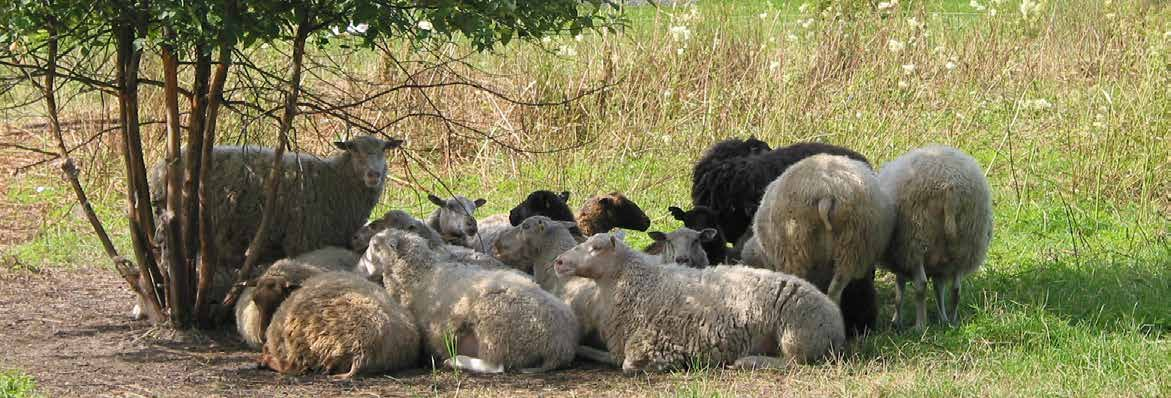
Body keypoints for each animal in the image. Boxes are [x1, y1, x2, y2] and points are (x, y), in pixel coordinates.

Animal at [259, 270, 421, 379]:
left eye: (274, 299)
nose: (261, 336)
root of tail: (363, 353)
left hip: (306, 342)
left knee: (296, 367)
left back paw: (266, 361)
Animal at [367, 228, 578, 374]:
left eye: (375, 247)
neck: (420, 273)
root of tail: (561, 345)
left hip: (496, 327)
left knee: (495, 366)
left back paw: (455, 361)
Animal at [552, 231, 847, 372]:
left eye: (596, 248)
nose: (559, 262)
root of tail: (836, 317)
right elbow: (596, 353)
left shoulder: (652, 341)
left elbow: (628, 365)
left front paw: (665, 365)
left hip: (796, 336)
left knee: (796, 363)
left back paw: (748, 361)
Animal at [880, 144, 993, 327]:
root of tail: (950, 187)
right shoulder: (938, 264)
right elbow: (939, 289)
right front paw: (942, 318)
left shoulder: (902, 257)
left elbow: (899, 290)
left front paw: (896, 320)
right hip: (966, 244)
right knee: (956, 288)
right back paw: (952, 320)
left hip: (916, 240)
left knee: (921, 284)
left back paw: (920, 325)